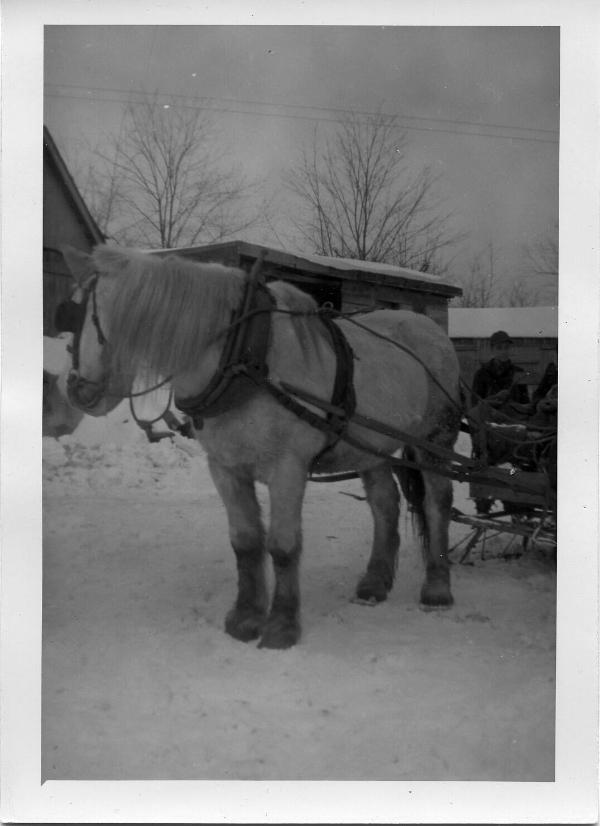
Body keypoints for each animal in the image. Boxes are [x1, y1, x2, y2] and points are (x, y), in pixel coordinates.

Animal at [58, 244, 462, 649]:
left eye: (86, 312)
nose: (75, 389)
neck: (243, 360)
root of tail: (432, 329)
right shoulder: (225, 468)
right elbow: (246, 542)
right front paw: (246, 617)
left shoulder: (288, 468)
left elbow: (282, 545)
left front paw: (282, 626)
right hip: (369, 446)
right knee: (385, 504)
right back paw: (374, 583)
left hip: (434, 440)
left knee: (436, 503)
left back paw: (437, 588)